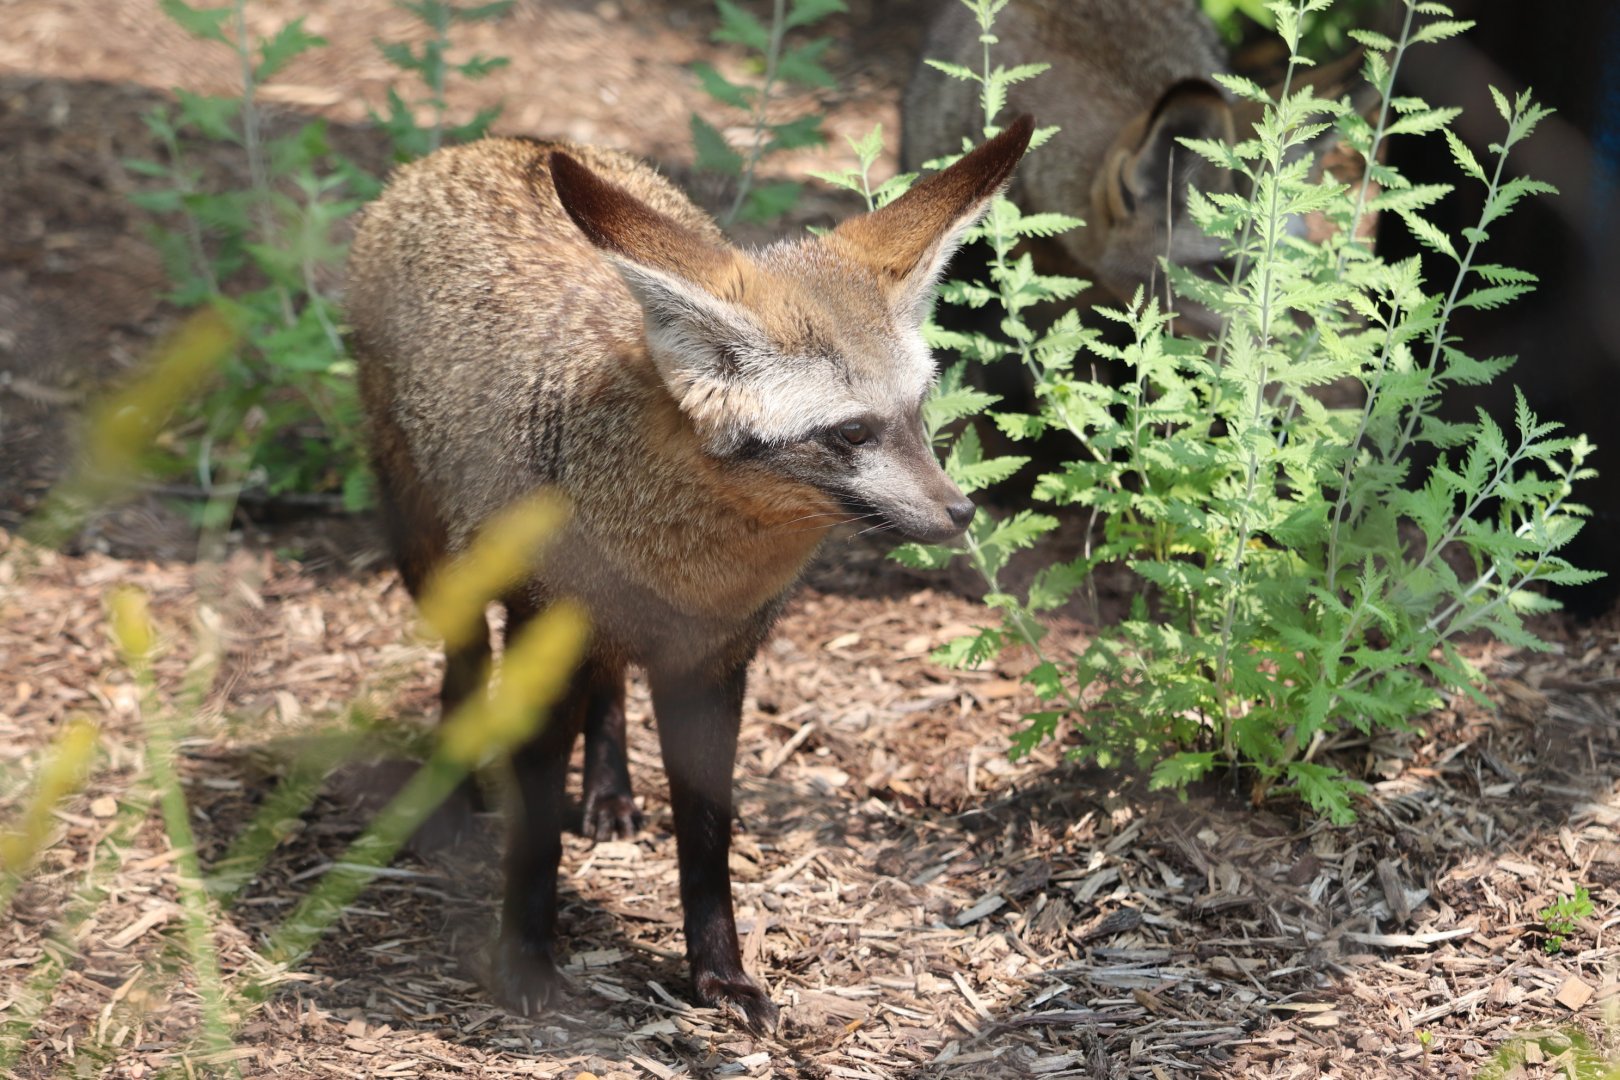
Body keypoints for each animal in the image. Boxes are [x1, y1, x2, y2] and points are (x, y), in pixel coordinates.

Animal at [344, 115, 1035, 1029]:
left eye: (916, 416)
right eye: (850, 434)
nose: (960, 514)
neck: (681, 572)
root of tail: (503, 141)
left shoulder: (715, 666)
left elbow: (708, 841)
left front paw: (720, 975)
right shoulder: (546, 641)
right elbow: (535, 839)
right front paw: (525, 962)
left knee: (605, 689)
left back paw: (607, 793)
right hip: (436, 566)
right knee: (465, 663)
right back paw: (457, 790)